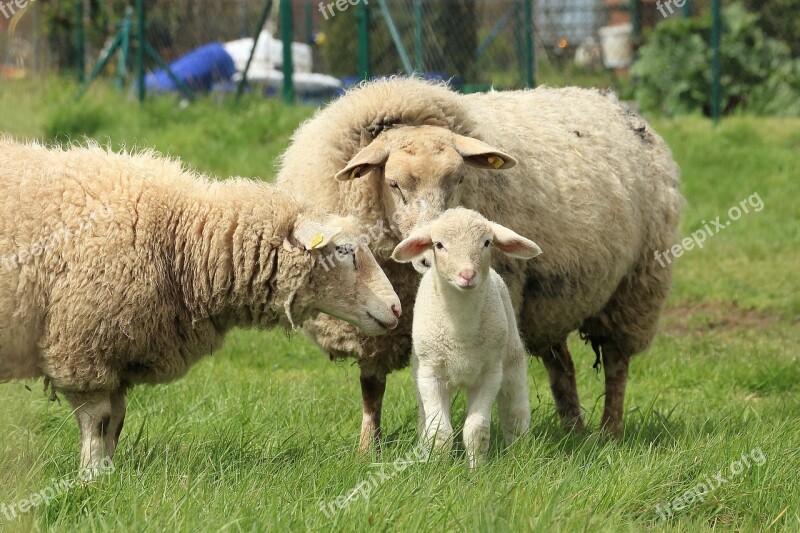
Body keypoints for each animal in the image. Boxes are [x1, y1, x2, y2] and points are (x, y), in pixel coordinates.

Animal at [0, 136, 400, 470]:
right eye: (344, 250)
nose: (396, 308)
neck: (180, 238)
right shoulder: (83, 348)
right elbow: (99, 421)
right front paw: (91, 477)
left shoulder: (117, 351)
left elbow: (116, 420)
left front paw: (110, 476)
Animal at [390, 208, 540, 466]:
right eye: (439, 245)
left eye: (487, 242)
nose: (467, 275)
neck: (460, 331)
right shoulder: (430, 375)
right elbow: (439, 431)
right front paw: (437, 466)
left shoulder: (490, 375)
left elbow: (476, 430)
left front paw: (477, 469)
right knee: (425, 417)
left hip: (511, 360)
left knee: (515, 410)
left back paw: (519, 452)